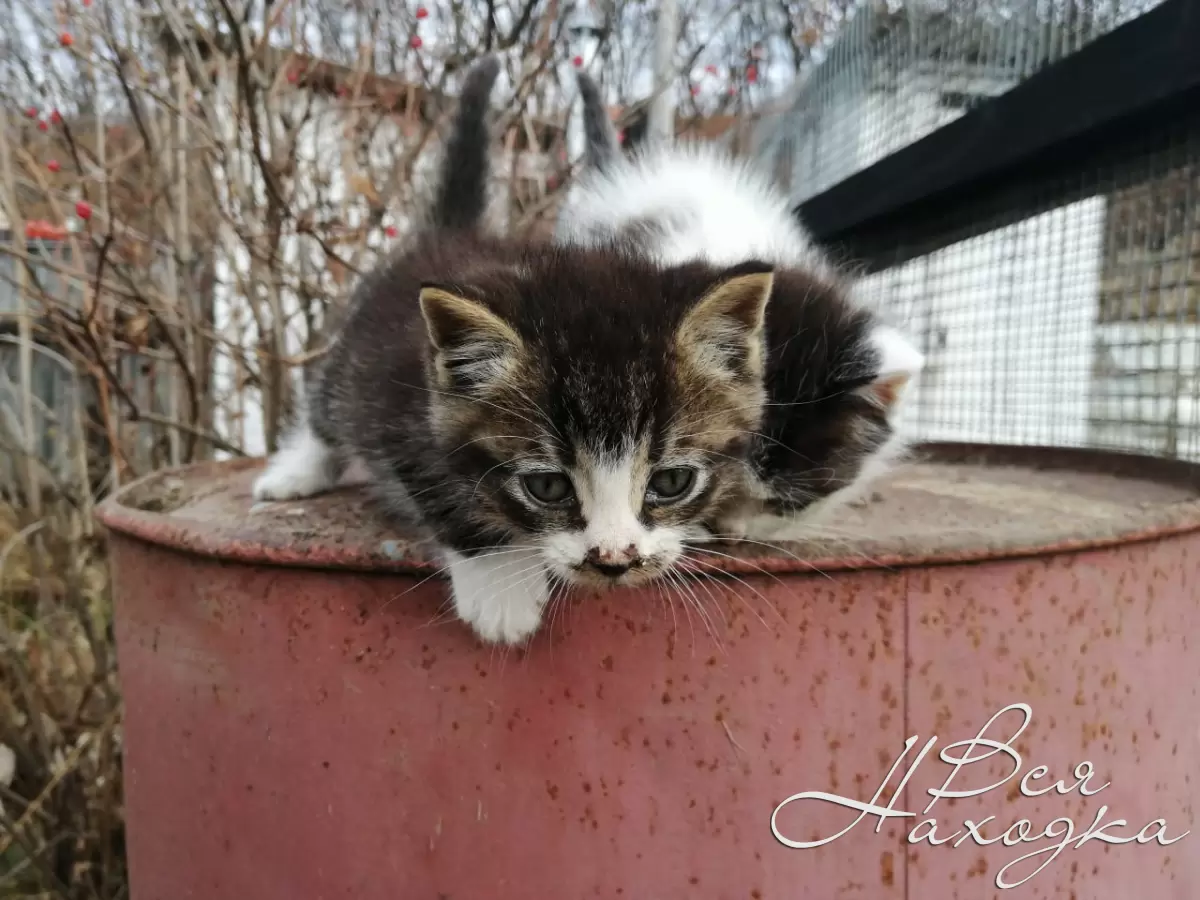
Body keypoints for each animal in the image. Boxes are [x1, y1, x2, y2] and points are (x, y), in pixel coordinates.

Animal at [250, 56, 777, 643]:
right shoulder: (400, 407)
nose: (615, 560)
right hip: (355, 364)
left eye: (672, 481)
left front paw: (693, 530)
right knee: (326, 409)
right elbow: (442, 490)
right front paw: (500, 581)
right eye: (547, 487)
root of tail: (447, 233)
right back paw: (294, 472)